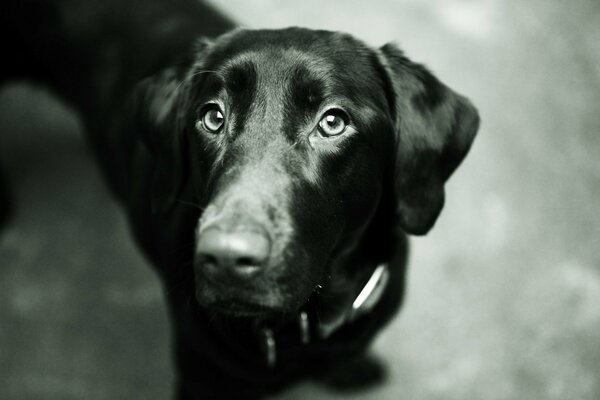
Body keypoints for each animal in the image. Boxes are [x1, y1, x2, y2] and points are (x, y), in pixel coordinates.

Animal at [0, 0, 478, 396]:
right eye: (213, 116)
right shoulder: (201, 378)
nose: (226, 258)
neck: (306, 322)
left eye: (333, 122)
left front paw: (349, 367)